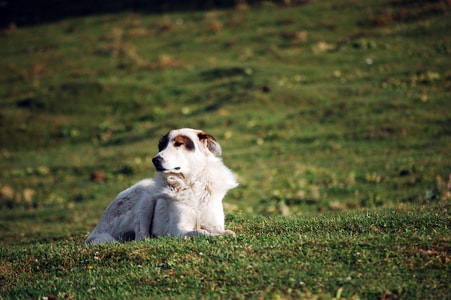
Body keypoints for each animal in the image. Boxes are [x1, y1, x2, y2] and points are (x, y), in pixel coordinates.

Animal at [85, 127, 240, 245]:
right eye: (162, 146)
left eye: (178, 144)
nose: (155, 160)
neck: (192, 184)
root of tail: (97, 228)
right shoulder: (178, 230)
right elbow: (200, 232)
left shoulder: (214, 224)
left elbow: (223, 231)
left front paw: (225, 234)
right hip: (146, 194)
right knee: (140, 236)